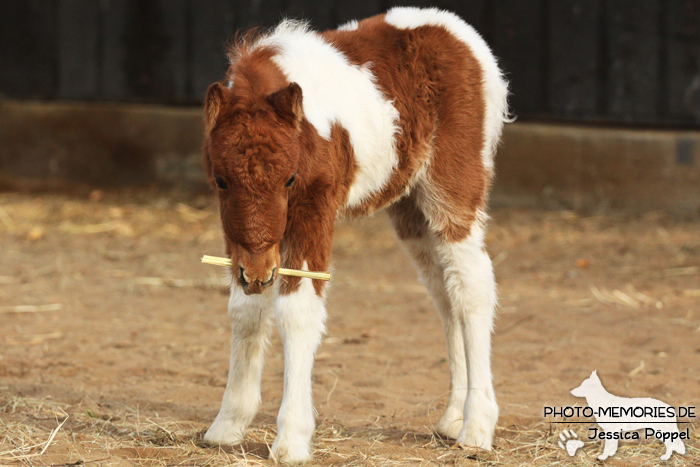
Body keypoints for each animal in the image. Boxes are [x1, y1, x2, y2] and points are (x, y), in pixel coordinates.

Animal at [201, 7, 508, 464]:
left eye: (290, 179)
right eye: (221, 181)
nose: (258, 274)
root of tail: (461, 33)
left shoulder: (314, 207)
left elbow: (297, 313)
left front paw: (292, 439)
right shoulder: (240, 239)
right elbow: (245, 310)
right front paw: (228, 424)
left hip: (454, 184)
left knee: (472, 286)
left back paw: (476, 428)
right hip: (410, 207)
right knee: (445, 292)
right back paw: (453, 418)